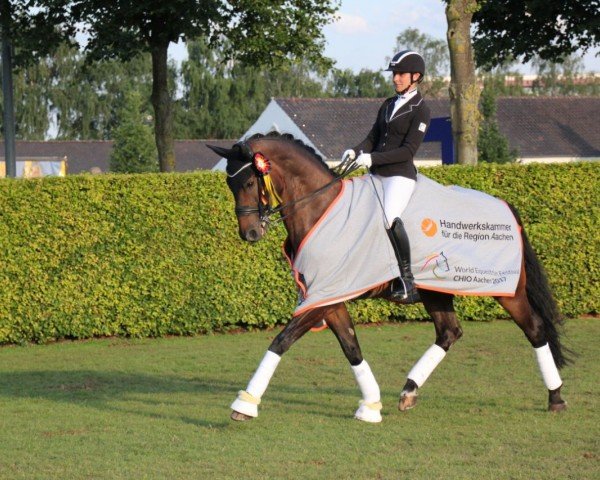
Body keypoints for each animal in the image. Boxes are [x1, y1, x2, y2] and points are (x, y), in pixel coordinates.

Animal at [209, 133, 568, 422]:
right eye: (228, 184)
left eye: (250, 183)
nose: (250, 233)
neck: (321, 209)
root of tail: (505, 205)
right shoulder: (329, 296)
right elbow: (351, 348)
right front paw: (370, 405)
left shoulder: (321, 298)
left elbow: (281, 341)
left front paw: (245, 404)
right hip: (435, 291)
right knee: (449, 332)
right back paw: (408, 391)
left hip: (507, 291)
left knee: (535, 329)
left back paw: (556, 398)